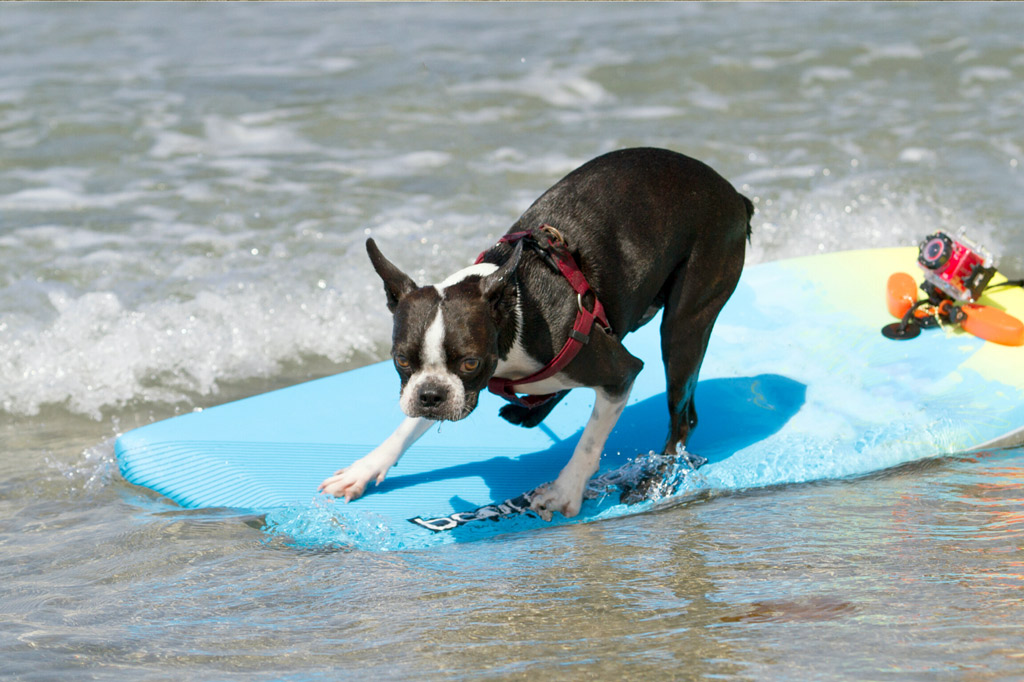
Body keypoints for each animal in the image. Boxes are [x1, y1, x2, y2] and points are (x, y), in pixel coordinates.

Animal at [319, 148, 753, 518]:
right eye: (401, 360)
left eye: (471, 362)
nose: (431, 397)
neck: (515, 310)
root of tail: (733, 195)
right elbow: (406, 428)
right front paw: (365, 468)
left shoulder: (620, 373)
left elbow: (591, 440)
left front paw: (565, 490)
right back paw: (529, 410)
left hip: (684, 323)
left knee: (683, 416)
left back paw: (657, 477)